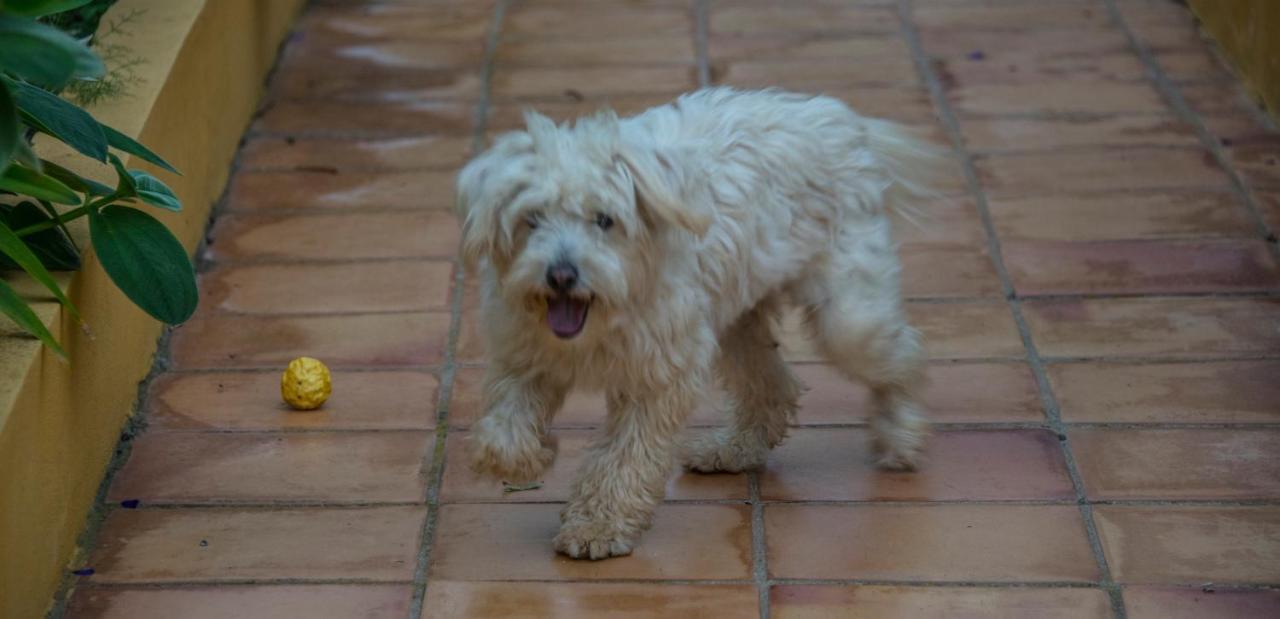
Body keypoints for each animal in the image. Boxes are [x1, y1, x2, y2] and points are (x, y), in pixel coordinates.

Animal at [455, 88, 947, 560]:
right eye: (531, 218)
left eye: (604, 219)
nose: (561, 275)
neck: (606, 314)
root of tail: (839, 118)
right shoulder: (522, 356)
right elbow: (503, 431)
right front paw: (530, 458)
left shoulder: (658, 378)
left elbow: (625, 457)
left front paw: (600, 524)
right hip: (736, 319)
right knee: (773, 386)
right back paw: (734, 449)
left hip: (847, 319)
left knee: (905, 355)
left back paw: (900, 434)